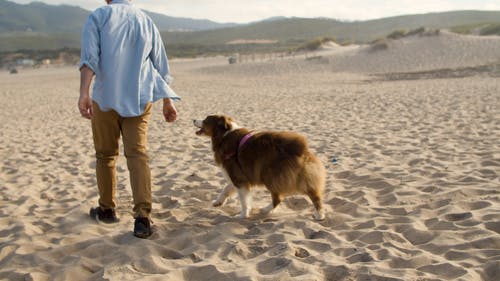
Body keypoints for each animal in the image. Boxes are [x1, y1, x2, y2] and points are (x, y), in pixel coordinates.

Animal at [193, 115, 326, 220]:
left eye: (205, 120)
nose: (193, 119)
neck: (224, 135)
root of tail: (301, 148)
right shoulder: (238, 176)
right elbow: (225, 189)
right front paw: (217, 202)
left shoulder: (239, 178)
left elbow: (244, 200)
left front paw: (243, 215)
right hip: (300, 177)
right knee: (314, 194)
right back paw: (320, 214)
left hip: (269, 175)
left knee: (278, 198)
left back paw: (266, 210)